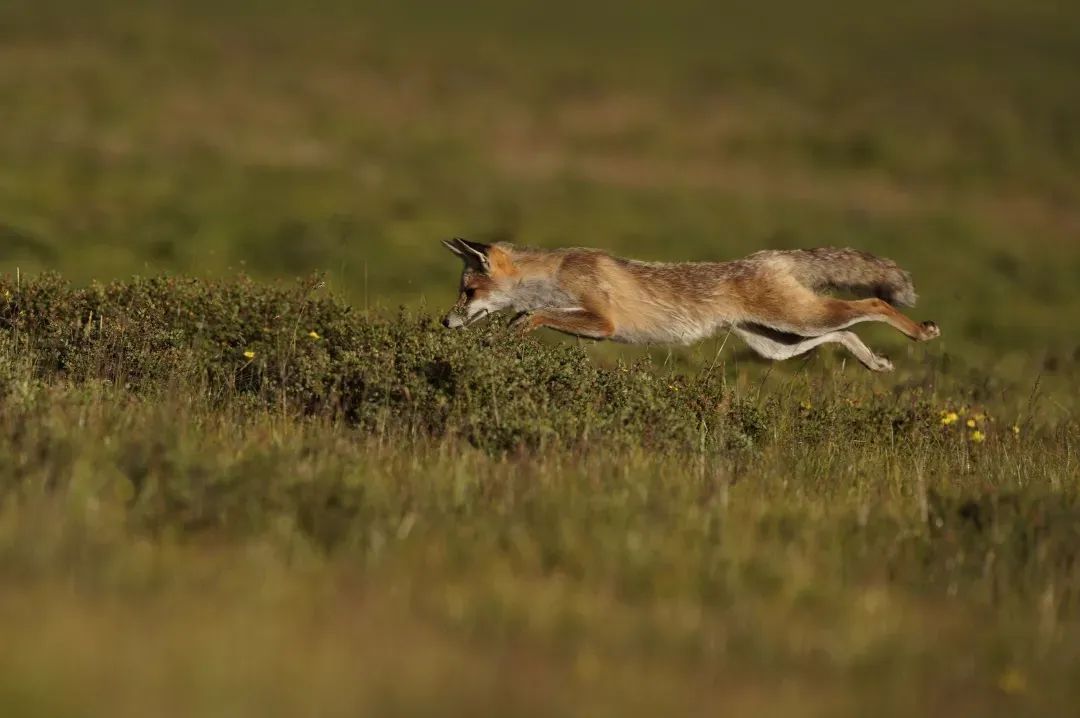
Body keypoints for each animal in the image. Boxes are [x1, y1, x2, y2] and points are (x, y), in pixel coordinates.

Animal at [438, 239, 937, 371]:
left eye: (468, 293)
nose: (444, 322)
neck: (555, 275)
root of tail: (769, 256)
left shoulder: (604, 322)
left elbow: (540, 315)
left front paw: (518, 330)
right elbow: (531, 314)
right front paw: (511, 332)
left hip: (799, 320)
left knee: (872, 302)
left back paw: (921, 332)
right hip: (778, 343)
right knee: (845, 332)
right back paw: (875, 362)